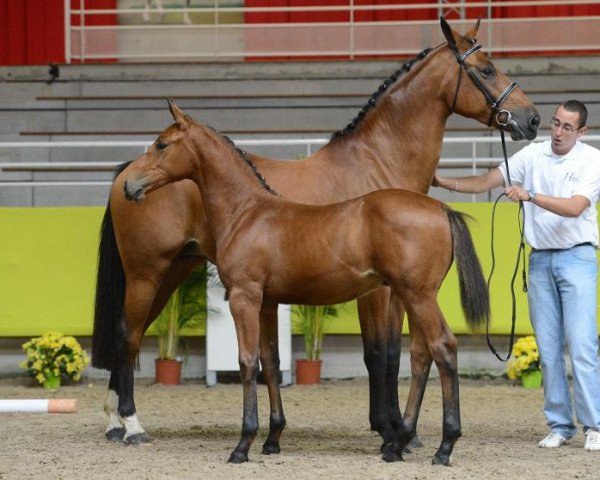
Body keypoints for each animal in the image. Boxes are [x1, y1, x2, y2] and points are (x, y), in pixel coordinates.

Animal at [123, 102, 492, 464]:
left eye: (161, 144)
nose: (129, 185)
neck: (248, 213)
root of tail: (441, 209)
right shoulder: (267, 303)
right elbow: (271, 362)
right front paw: (272, 440)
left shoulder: (244, 297)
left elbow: (247, 362)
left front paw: (243, 445)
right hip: (413, 296)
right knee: (421, 356)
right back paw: (398, 444)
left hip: (417, 296)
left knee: (444, 348)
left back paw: (443, 447)